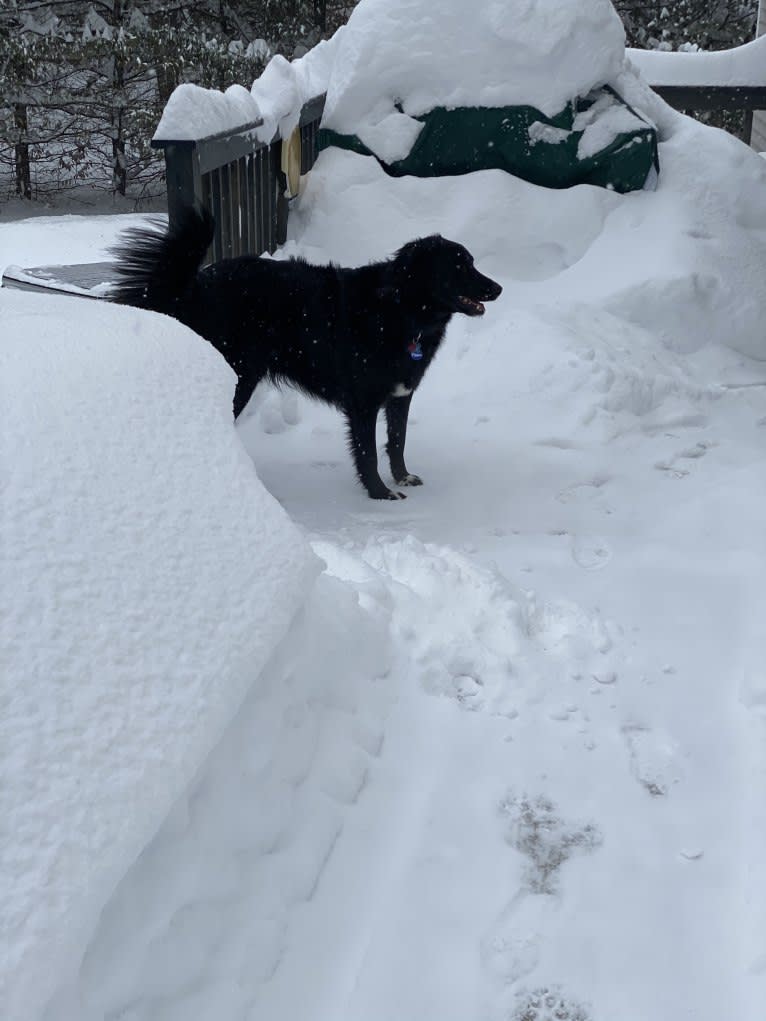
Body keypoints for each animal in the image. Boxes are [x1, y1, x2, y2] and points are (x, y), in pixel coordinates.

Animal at [109, 205, 504, 500]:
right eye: (459, 266)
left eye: (472, 262)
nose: (498, 288)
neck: (401, 309)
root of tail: (194, 286)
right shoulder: (362, 401)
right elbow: (368, 453)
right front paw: (380, 494)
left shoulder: (399, 395)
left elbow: (397, 441)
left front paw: (402, 477)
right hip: (238, 377)